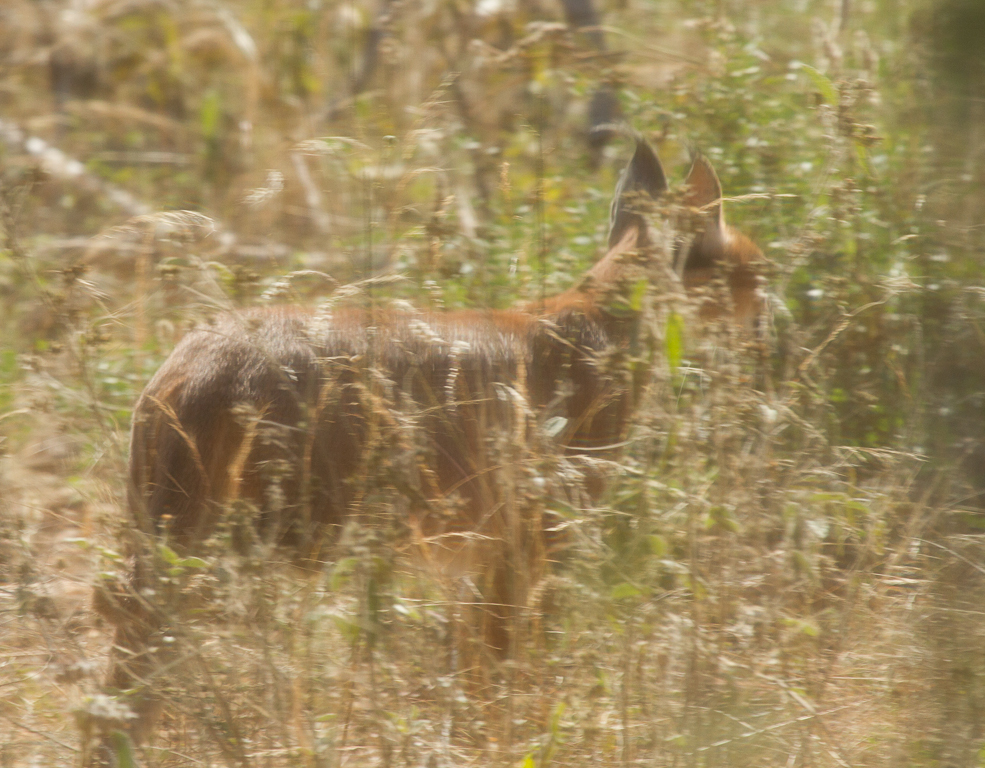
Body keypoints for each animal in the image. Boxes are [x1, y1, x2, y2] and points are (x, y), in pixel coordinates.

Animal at [92, 136, 764, 756]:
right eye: (755, 269)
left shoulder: (486, 552)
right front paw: (513, 740)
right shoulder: (532, 539)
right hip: (222, 546)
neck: (603, 320)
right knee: (130, 670)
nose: (767, 311)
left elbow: (477, 667)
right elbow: (511, 665)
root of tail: (183, 362)